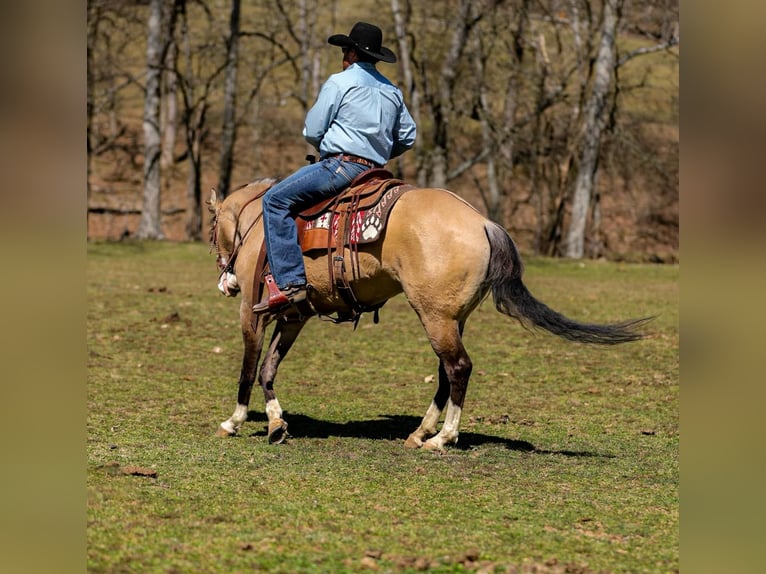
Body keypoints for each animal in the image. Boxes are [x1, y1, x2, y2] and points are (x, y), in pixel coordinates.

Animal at [207, 177, 649, 450]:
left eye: (212, 229)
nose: (226, 282)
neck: (257, 223)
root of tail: (483, 223)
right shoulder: (294, 317)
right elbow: (268, 368)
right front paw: (276, 422)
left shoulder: (252, 312)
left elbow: (248, 366)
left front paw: (235, 420)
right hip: (451, 318)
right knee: (446, 372)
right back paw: (421, 432)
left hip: (434, 316)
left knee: (458, 368)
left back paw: (442, 438)